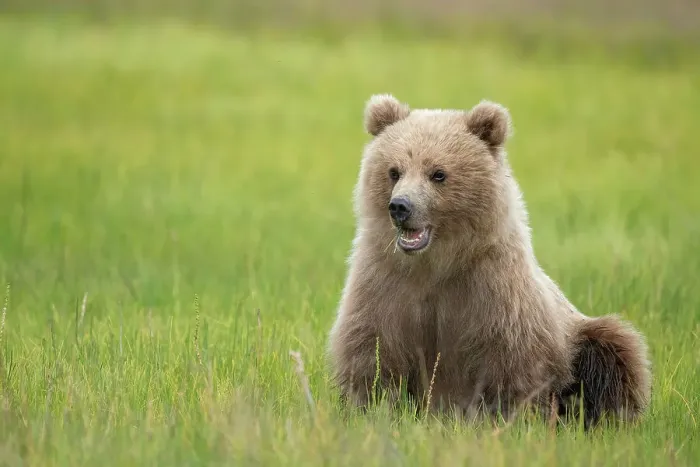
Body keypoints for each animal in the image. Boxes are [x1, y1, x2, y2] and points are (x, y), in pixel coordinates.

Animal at [327, 94, 652, 429]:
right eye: (394, 170)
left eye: (438, 173)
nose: (400, 206)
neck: (435, 264)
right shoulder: (386, 284)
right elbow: (373, 351)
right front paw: (371, 409)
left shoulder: (494, 292)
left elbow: (509, 364)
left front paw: (503, 419)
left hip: (580, 336)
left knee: (615, 350)